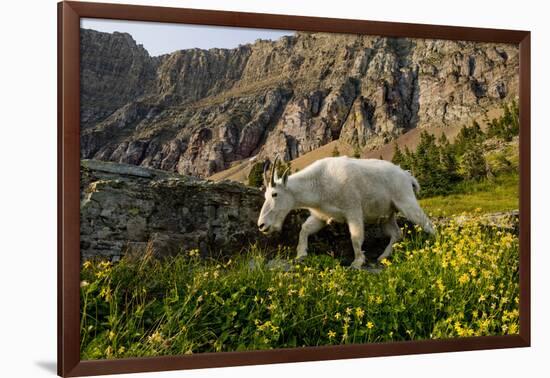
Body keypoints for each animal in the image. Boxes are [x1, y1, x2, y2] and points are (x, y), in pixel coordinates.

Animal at [258, 156, 436, 268]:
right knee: (396, 233)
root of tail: (407, 176)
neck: (318, 184)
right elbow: (305, 230)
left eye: (274, 194)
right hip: (387, 215)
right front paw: (301, 255)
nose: (262, 225)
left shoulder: (353, 211)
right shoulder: (320, 216)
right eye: (265, 195)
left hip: (405, 201)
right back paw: (383, 256)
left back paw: (437, 245)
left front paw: (357, 263)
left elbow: (356, 237)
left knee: (427, 224)